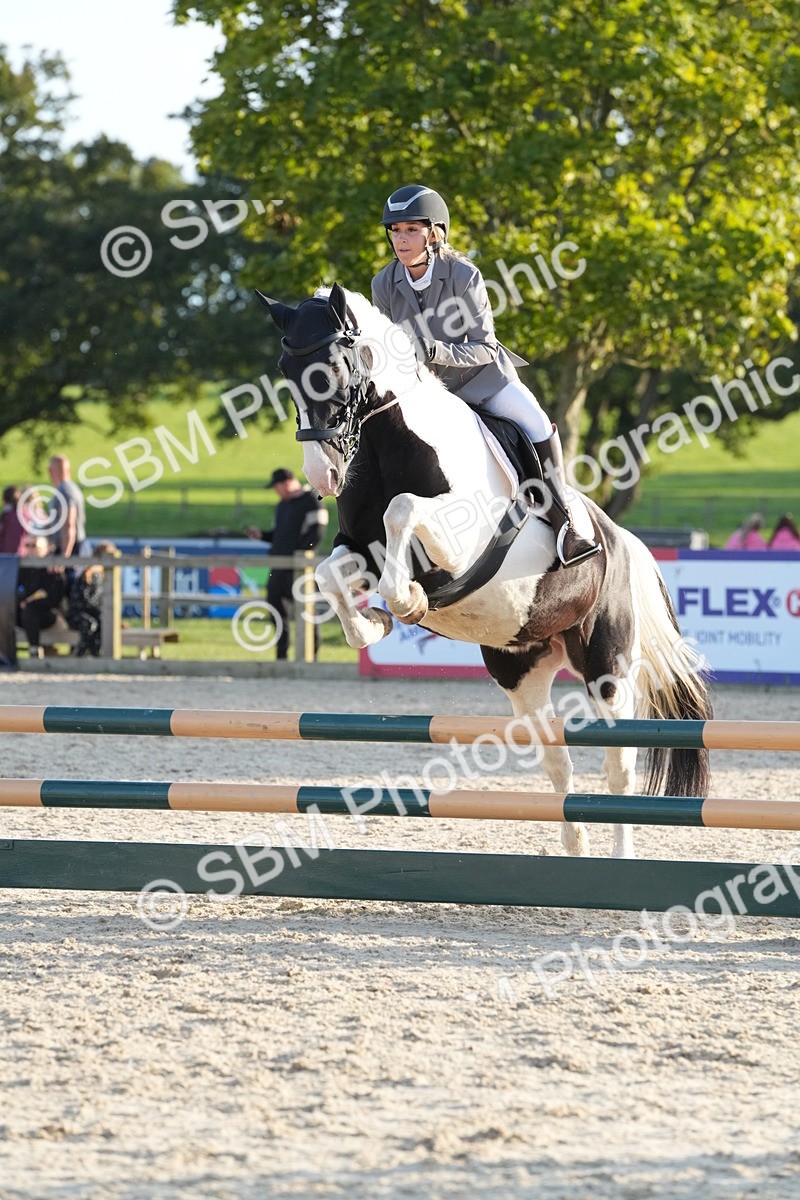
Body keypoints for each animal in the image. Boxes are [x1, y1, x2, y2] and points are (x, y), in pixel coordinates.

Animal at [256, 282, 712, 858]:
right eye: (283, 368)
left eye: (335, 365)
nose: (323, 474)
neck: (386, 442)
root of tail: (621, 539)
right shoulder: (360, 548)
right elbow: (329, 576)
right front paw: (374, 624)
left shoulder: (456, 545)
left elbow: (402, 509)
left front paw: (407, 603)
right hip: (521, 668)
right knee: (557, 759)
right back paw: (576, 849)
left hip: (607, 666)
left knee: (619, 766)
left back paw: (619, 855)